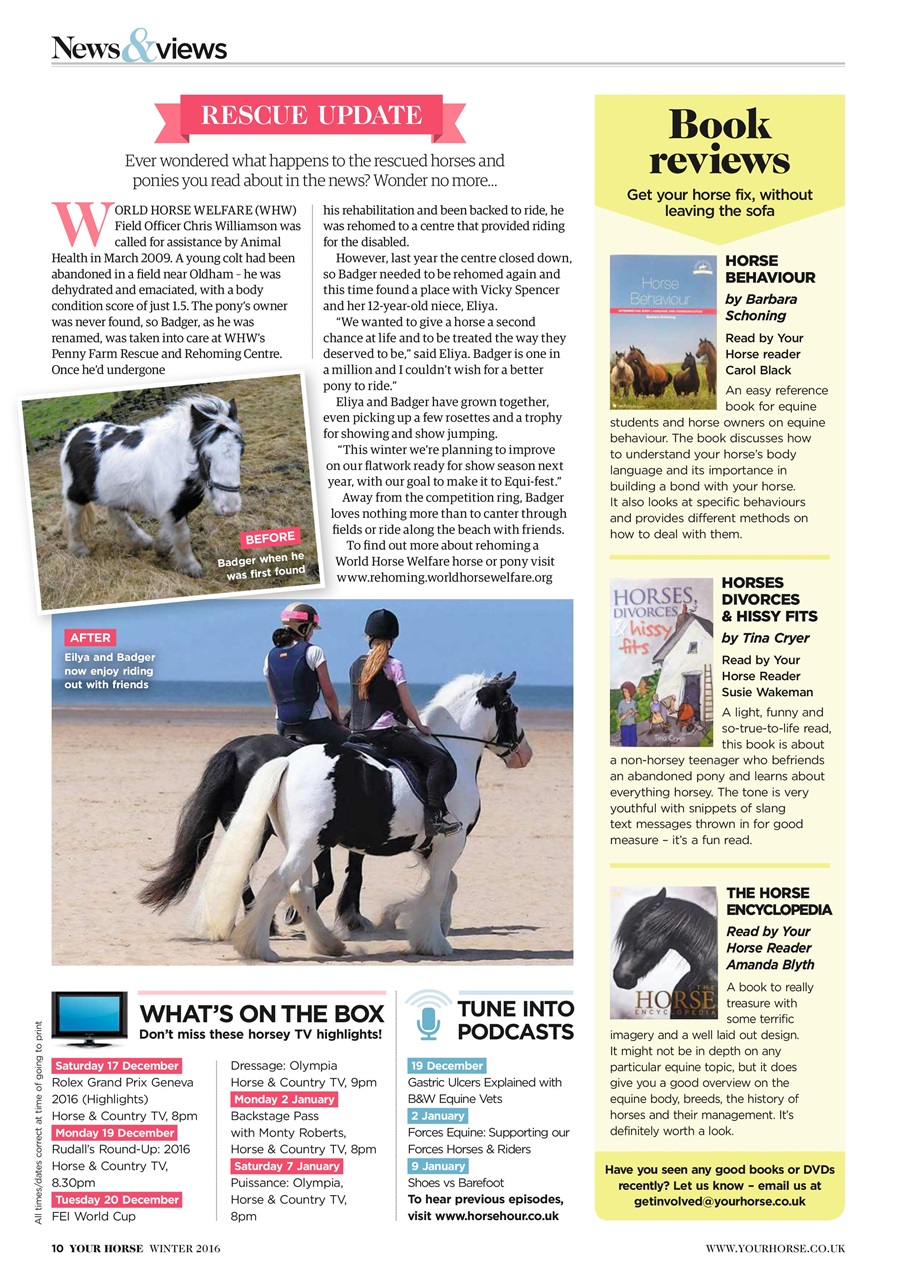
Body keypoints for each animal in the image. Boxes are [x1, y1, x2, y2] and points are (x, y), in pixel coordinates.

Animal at [60, 394, 244, 577]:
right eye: (207, 456)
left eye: (241, 450)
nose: (231, 508)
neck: (177, 462)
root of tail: (74, 435)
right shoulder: (174, 508)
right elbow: (183, 536)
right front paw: (191, 567)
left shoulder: (176, 507)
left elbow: (170, 532)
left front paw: (160, 547)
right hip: (75, 495)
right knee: (73, 518)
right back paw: (79, 550)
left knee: (118, 515)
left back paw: (142, 542)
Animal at [189, 672, 533, 962]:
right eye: (512, 708)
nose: (525, 753)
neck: (453, 749)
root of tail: (287, 762)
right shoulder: (451, 840)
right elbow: (437, 888)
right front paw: (433, 941)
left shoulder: (427, 844)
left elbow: (449, 883)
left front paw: (412, 918)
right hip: (308, 844)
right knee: (278, 883)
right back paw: (260, 947)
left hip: (300, 843)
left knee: (299, 890)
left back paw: (327, 943)